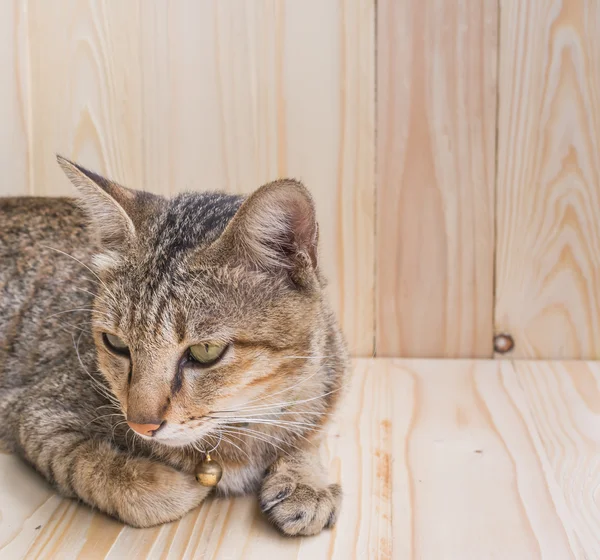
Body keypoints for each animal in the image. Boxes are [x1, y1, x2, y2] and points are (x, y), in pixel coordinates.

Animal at [0, 156, 350, 532]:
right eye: (115, 343)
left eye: (205, 352)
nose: (141, 425)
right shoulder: (34, 414)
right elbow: (99, 472)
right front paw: (177, 485)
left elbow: (307, 439)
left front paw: (305, 479)